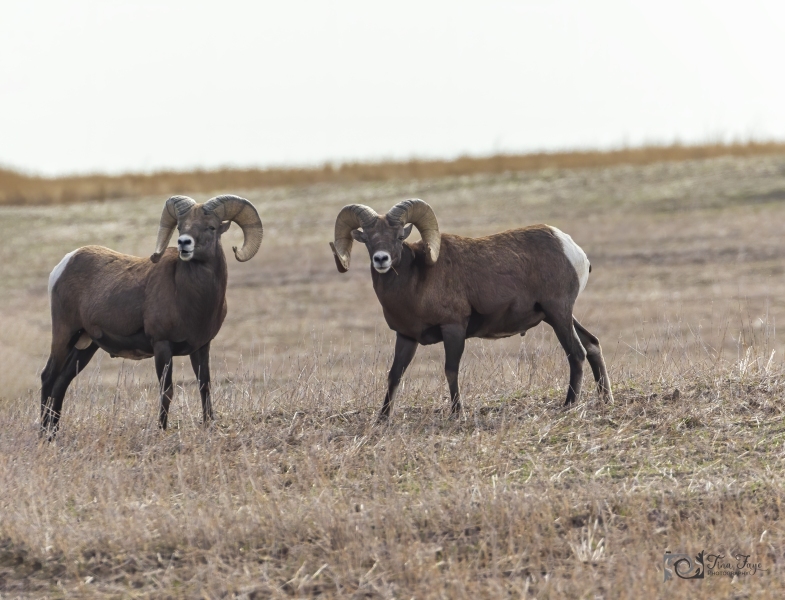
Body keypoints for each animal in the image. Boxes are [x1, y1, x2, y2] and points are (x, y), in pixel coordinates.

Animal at [42, 194, 263, 437]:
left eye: (211, 227)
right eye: (181, 227)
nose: (184, 243)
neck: (190, 298)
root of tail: (63, 265)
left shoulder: (202, 346)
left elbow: (204, 385)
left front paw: (208, 425)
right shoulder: (162, 346)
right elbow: (166, 391)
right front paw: (161, 430)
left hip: (86, 345)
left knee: (61, 382)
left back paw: (54, 435)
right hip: (65, 335)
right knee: (48, 377)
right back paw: (43, 434)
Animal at [329, 198, 613, 419]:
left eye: (399, 237)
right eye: (367, 240)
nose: (381, 260)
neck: (416, 279)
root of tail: (572, 250)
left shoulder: (453, 329)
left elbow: (450, 370)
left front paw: (457, 413)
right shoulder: (407, 337)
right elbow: (395, 375)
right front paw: (383, 418)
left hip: (558, 313)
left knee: (576, 353)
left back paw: (568, 405)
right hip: (558, 316)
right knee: (592, 345)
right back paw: (605, 400)